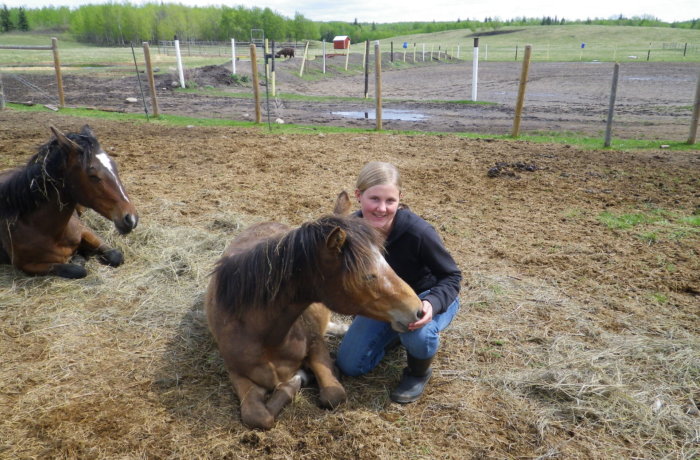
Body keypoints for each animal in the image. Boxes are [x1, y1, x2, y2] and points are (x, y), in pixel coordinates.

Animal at [0, 125, 138, 278]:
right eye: (92, 175)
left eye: (114, 166)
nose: (131, 219)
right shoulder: (26, 266)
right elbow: (76, 270)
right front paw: (80, 258)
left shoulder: (86, 231)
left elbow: (116, 255)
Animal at [205, 191, 423, 430]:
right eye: (367, 276)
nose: (418, 310)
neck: (264, 335)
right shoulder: (236, 372)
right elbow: (258, 417)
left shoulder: (317, 345)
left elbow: (333, 394)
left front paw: (302, 377)